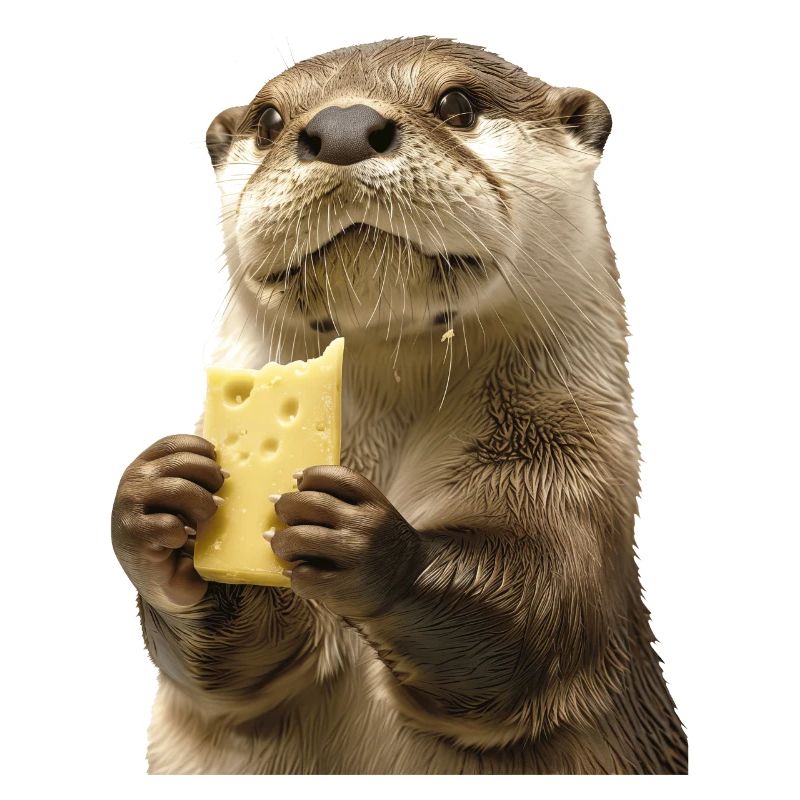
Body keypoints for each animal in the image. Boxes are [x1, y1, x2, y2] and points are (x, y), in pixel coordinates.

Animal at [111, 36, 687, 773]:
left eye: (458, 103)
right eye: (269, 120)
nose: (343, 127)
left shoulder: (569, 473)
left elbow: (534, 615)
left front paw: (368, 539)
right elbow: (232, 670)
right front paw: (158, 497)